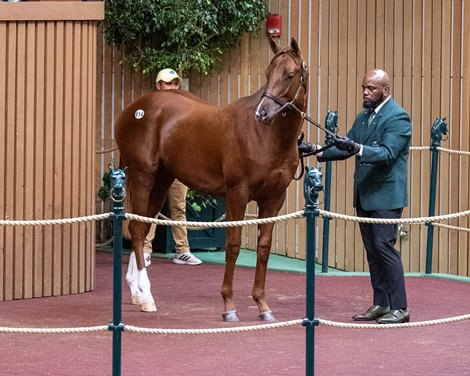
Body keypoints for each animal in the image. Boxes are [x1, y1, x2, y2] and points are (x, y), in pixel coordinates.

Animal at [115, 37, 308, 320]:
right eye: (267, 73)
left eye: (290, 75)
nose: (262, 113)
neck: (265, 136)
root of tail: (133, 110)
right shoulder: (238, 193)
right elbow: (233, 245)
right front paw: (229, 306)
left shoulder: (274, 199)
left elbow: (263, 248)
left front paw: (263, 305)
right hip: (142, 175)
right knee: (138, 232)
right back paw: (147, 297)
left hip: (161, 181)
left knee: (141, 224)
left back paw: (137, 292)